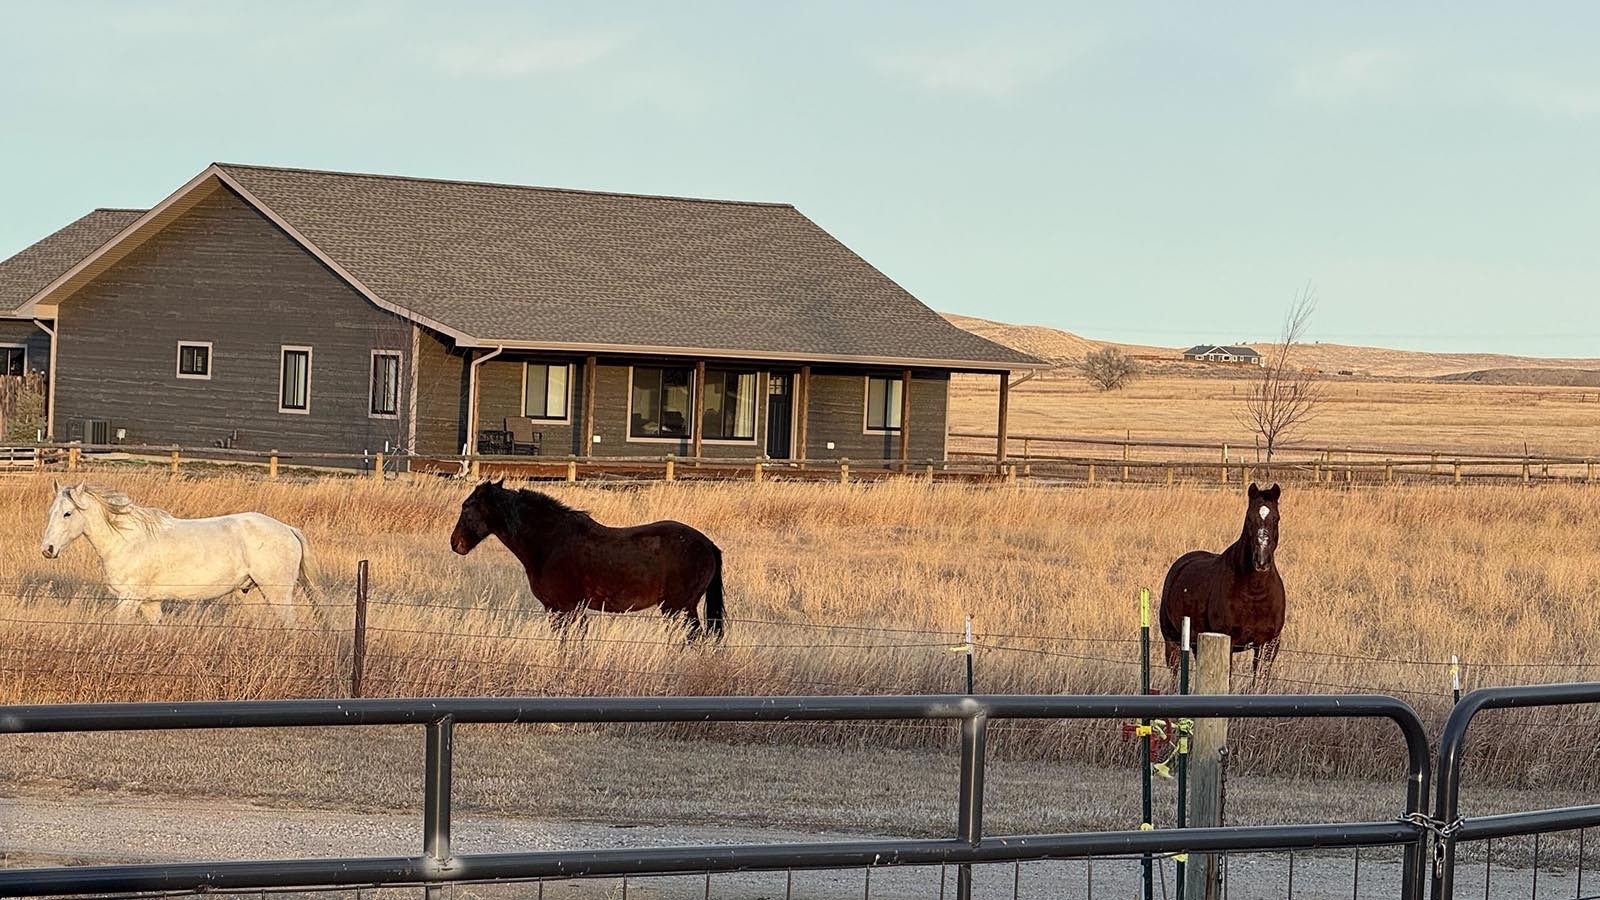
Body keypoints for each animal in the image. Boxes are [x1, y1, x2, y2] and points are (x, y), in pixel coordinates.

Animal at [40, 480, 315, 621]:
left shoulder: (129, 599)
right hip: (252, 594)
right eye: (51, 511)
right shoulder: (150, 603)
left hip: (278, 594)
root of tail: (288, 529)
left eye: (67, 513)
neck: (128, 540)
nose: (47, 550)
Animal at [451, 477, 726, 637]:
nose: (455, 543)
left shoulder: (567, 608)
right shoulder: (557, 609)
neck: (550, 542)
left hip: (678, 607)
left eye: (467, 507)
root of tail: (708, 544)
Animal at [1164, 483, 1286, 672]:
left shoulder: (1268, 645)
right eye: (1249, 518)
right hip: (1172, 641)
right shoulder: (1227, 641)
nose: (1262, 560)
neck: (1255, 593)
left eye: (1276, 518)